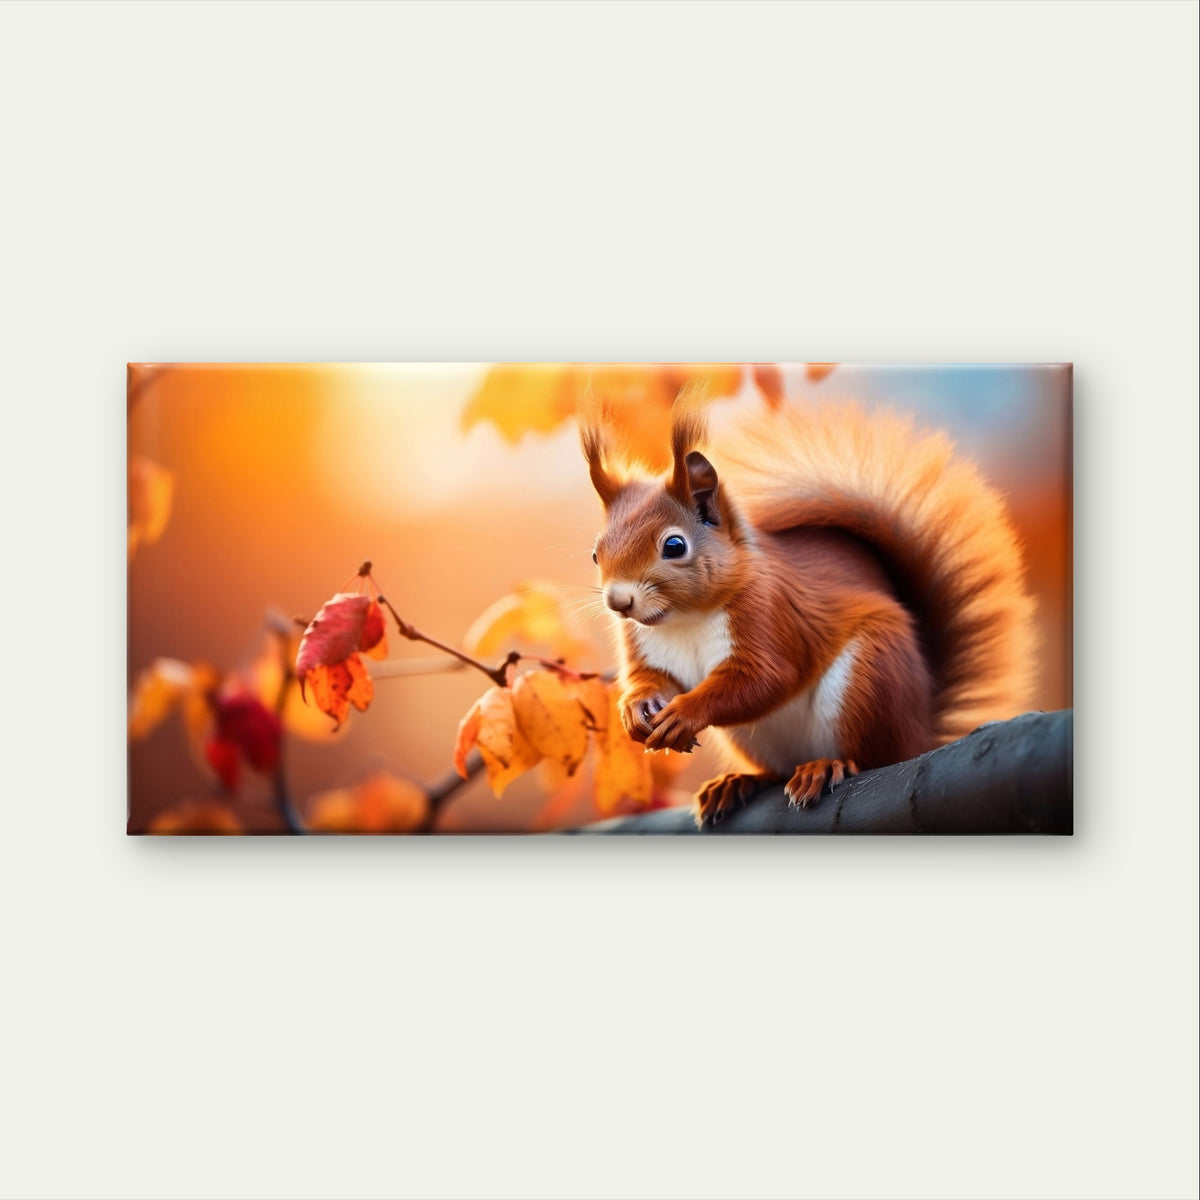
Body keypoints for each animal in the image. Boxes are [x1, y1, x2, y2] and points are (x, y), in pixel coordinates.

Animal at [580, 392, 1037, 827]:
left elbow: (764, 679)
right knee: (775, 771)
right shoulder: (644, 644)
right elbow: (650, 678)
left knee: (871, 756)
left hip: (869, 682)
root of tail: (920, 734)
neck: (684, 619)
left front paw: (684, 713)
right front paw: (635, 709)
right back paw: (738, 782)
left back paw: (828, 766)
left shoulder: (769, 614)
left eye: (674, 546)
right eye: (595, 553)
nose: (618, 601)